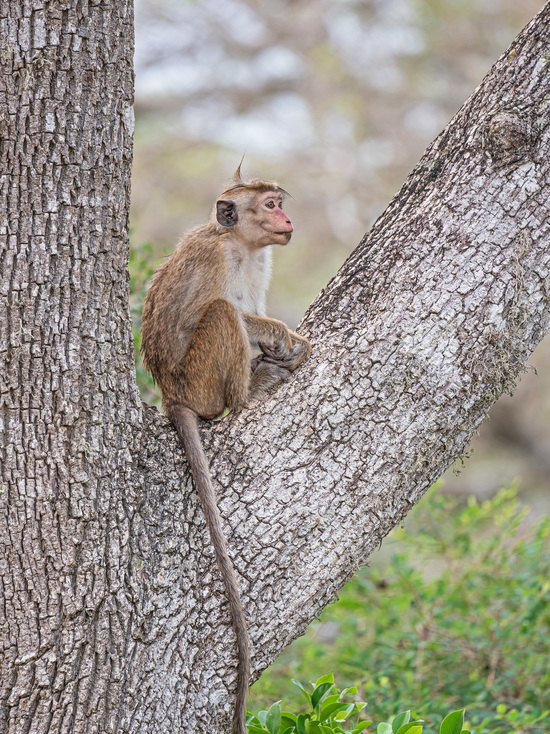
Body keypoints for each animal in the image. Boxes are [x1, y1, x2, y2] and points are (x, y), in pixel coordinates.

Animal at [140, 168, 312, 734]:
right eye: (271, 204)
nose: (287, 219)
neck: (239, 245)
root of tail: (172, 396)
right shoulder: (212, 257)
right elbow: (205, 314)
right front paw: (280, 334)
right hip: (199, 379)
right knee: (219, 313)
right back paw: (248, 392)